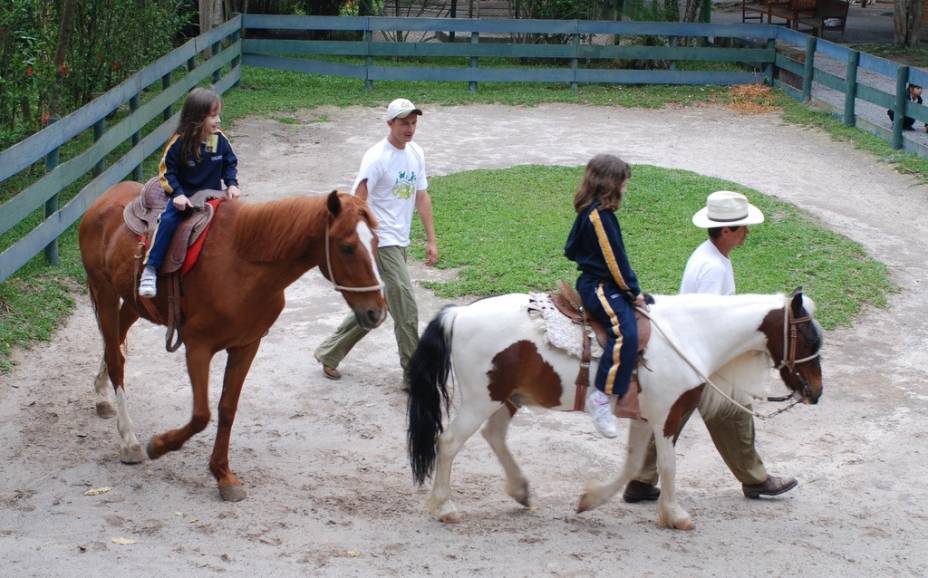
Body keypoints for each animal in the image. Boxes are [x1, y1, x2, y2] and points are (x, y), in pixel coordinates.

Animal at [78, 181, 386, 500]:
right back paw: (129, 441)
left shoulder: (246, 346)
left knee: (115, 344)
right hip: (104, 292)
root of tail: (105, 198)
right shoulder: (198, 348)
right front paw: (160, 445)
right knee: (116, 359)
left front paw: (223, 475)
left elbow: (227, 408)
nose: (376, 312)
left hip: (132, 302)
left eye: (376, 241)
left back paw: (102, 395)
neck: (243, 264)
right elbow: (201, 414)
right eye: (347, 247)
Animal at [410, 286, 824, 528]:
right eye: (807, 337)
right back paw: (444, 507)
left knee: (494, 435)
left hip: (506, 397)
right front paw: (675, 515)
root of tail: (458, 314)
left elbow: (632, 463)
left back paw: (521, 491)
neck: (691, 334)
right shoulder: (669, 415)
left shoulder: (644, 417)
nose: (816, 392)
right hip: (482, 398)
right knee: (449, 443)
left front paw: (590, 500)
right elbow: (668, 465)